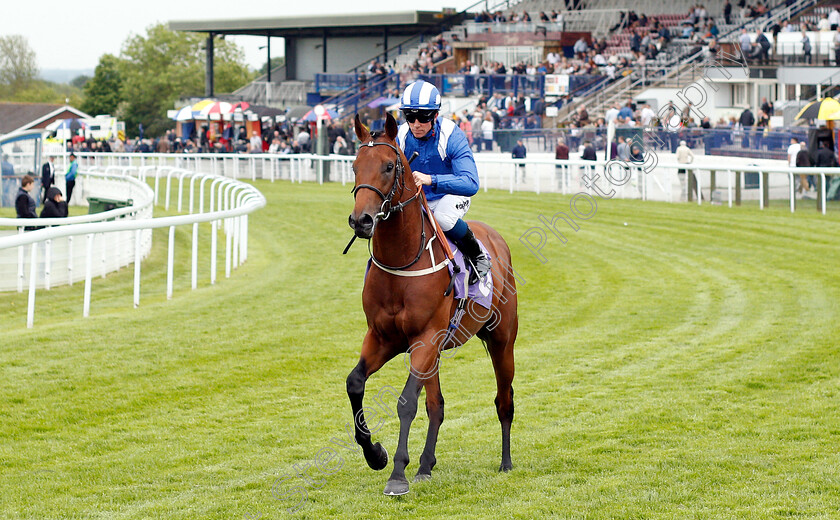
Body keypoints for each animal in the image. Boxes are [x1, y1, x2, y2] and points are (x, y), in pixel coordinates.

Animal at [342, 114, 516, 496]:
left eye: (389, 166)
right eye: (354, 166)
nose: (361, 221)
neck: (403, 261)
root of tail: (496, 238)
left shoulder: (425, 337)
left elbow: (406, 402)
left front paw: (397, 474)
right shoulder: (384, 337)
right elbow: (355, 383)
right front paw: (375, 454)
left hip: (502, 340)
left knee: (504, 399)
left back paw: (506, 462)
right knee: (437, 405)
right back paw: (425, 465)